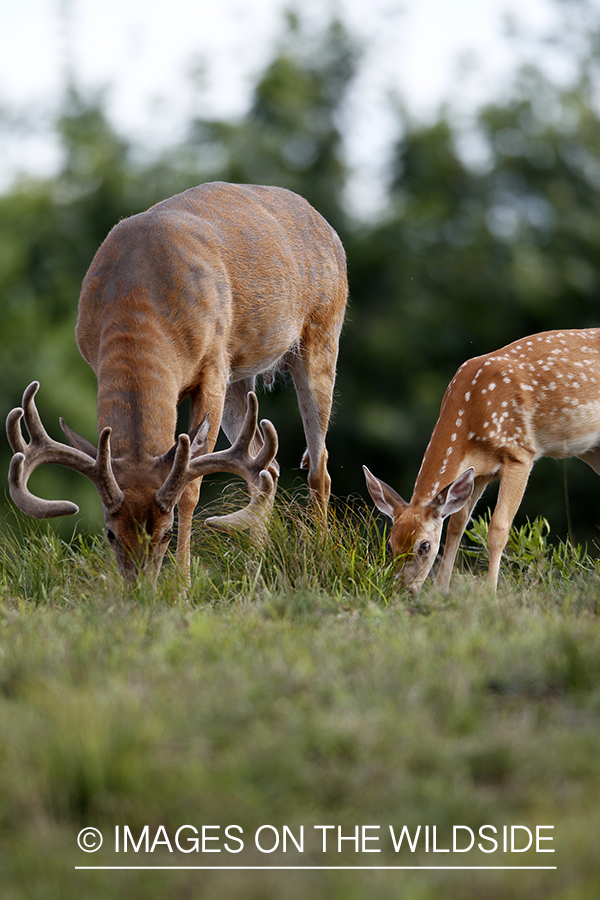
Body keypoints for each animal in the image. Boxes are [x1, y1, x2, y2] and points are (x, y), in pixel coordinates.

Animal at [7, 181, 346, 584]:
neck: (138, 299)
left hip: (322, 333)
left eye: (166, 532)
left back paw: (319, 559)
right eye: (110, 533)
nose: (140, 589)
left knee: (319, 464)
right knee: (267, 465)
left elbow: (190, 488)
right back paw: (253, 569)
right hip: (240, 373)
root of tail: (327, 226)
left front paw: (182, 586)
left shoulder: (212, 368)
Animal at [364, 326, 600, 596]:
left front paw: (490, 593)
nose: (403, 589)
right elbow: (457, 524)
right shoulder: (479, 472)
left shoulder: (519, 453)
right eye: (389, 544)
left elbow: (498, 527)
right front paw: (441, 590)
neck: (469, 412)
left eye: (424, 546)